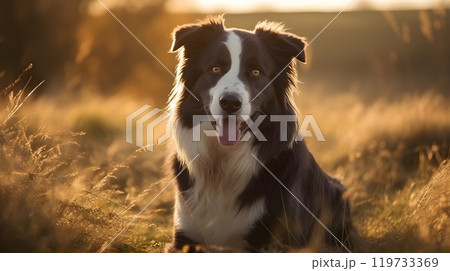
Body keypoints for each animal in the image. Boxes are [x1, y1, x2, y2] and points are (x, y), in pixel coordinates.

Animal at [167, 15, 354, 253]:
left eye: (256, 72)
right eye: (216, 68)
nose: (230, 103)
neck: (223, 166)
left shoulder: (277, 242)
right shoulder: (185, 236)